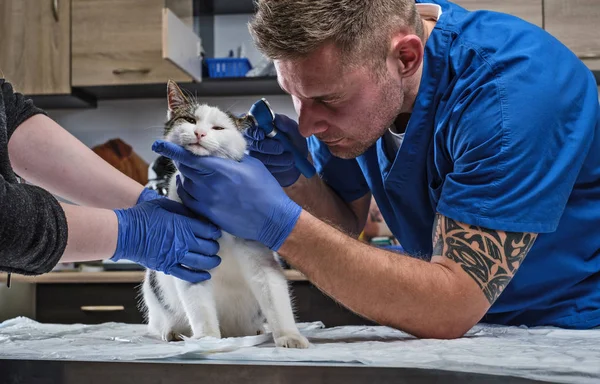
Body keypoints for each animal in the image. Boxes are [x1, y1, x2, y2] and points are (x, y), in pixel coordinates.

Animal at [141, 79, 310, 350]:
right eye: (190, 120)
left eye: (218, 128)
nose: (200, 133)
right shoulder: (191, 256)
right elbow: (199, 304)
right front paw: (206, 339)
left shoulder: (260, 254)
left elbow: (274, 294)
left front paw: (289, 335)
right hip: (153, 288)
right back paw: (173, 332)